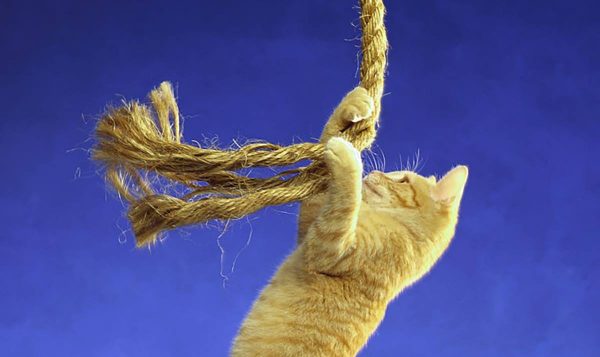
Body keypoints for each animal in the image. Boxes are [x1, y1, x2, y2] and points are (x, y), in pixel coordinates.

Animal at [231, 87, 468, 356]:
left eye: (403, 180)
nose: (377, 173)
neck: (402, 228)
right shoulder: (311, 225)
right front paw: (352, 105)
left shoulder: (332, 246)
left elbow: (348, 195)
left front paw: (349, 157)